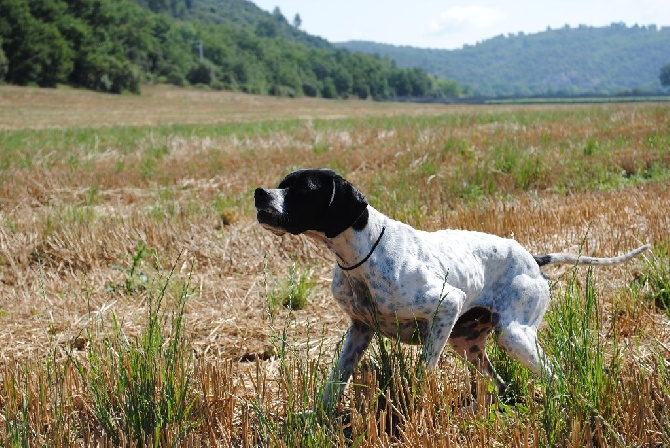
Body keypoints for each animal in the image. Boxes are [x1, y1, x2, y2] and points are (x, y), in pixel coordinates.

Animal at [256, 169, 652, 412]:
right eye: (281, 182)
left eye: (304, 189)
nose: (259, 194)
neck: (362, 253)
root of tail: (532, 258)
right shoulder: (360, 330)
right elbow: (335, 381)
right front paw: (315, 416)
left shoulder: (447, 304)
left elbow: (423, 371)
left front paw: (413, 409)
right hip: (468, 344)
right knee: (501, 383)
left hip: (514, 335)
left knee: (555, 375)